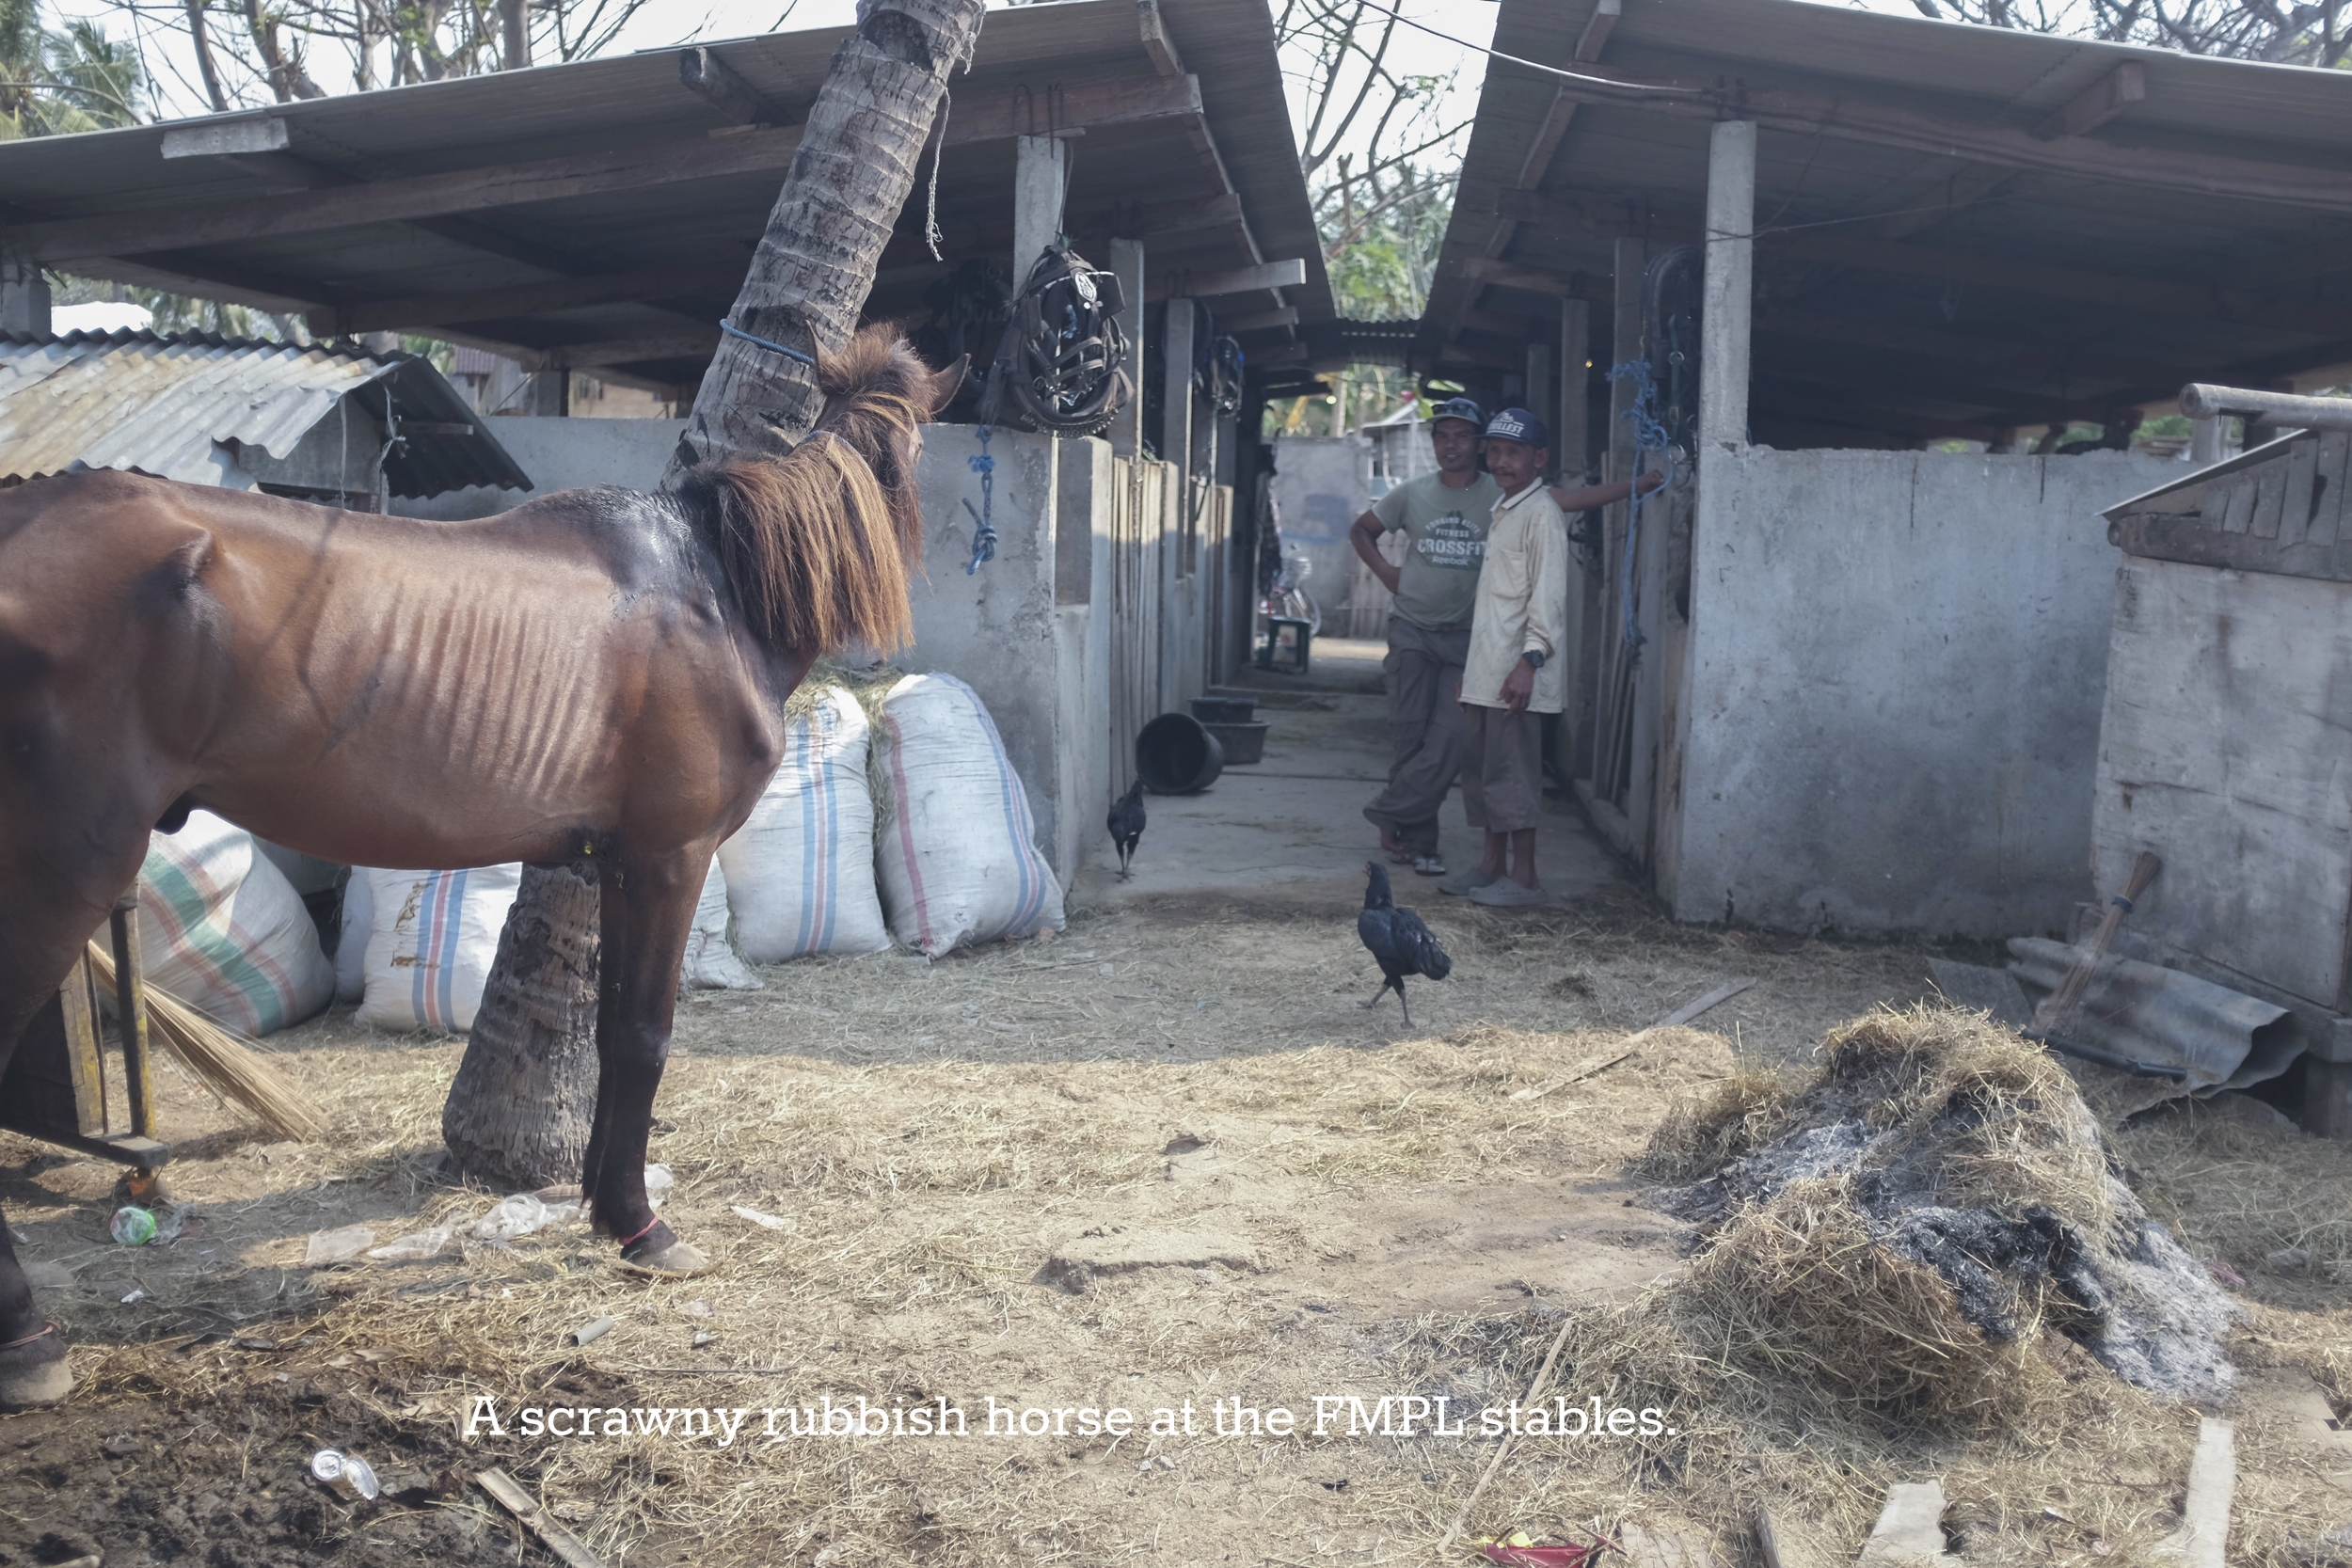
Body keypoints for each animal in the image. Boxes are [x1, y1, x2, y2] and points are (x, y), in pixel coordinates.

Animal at [0, 324, 964, 1401]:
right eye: (915, 455)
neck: (709, 590)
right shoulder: (668, 858)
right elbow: (643, 1036)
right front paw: (645, 1227)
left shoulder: (614, 863)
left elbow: (608, 1038)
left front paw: (605, 1206)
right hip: (59, 868)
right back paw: (29, 1341)